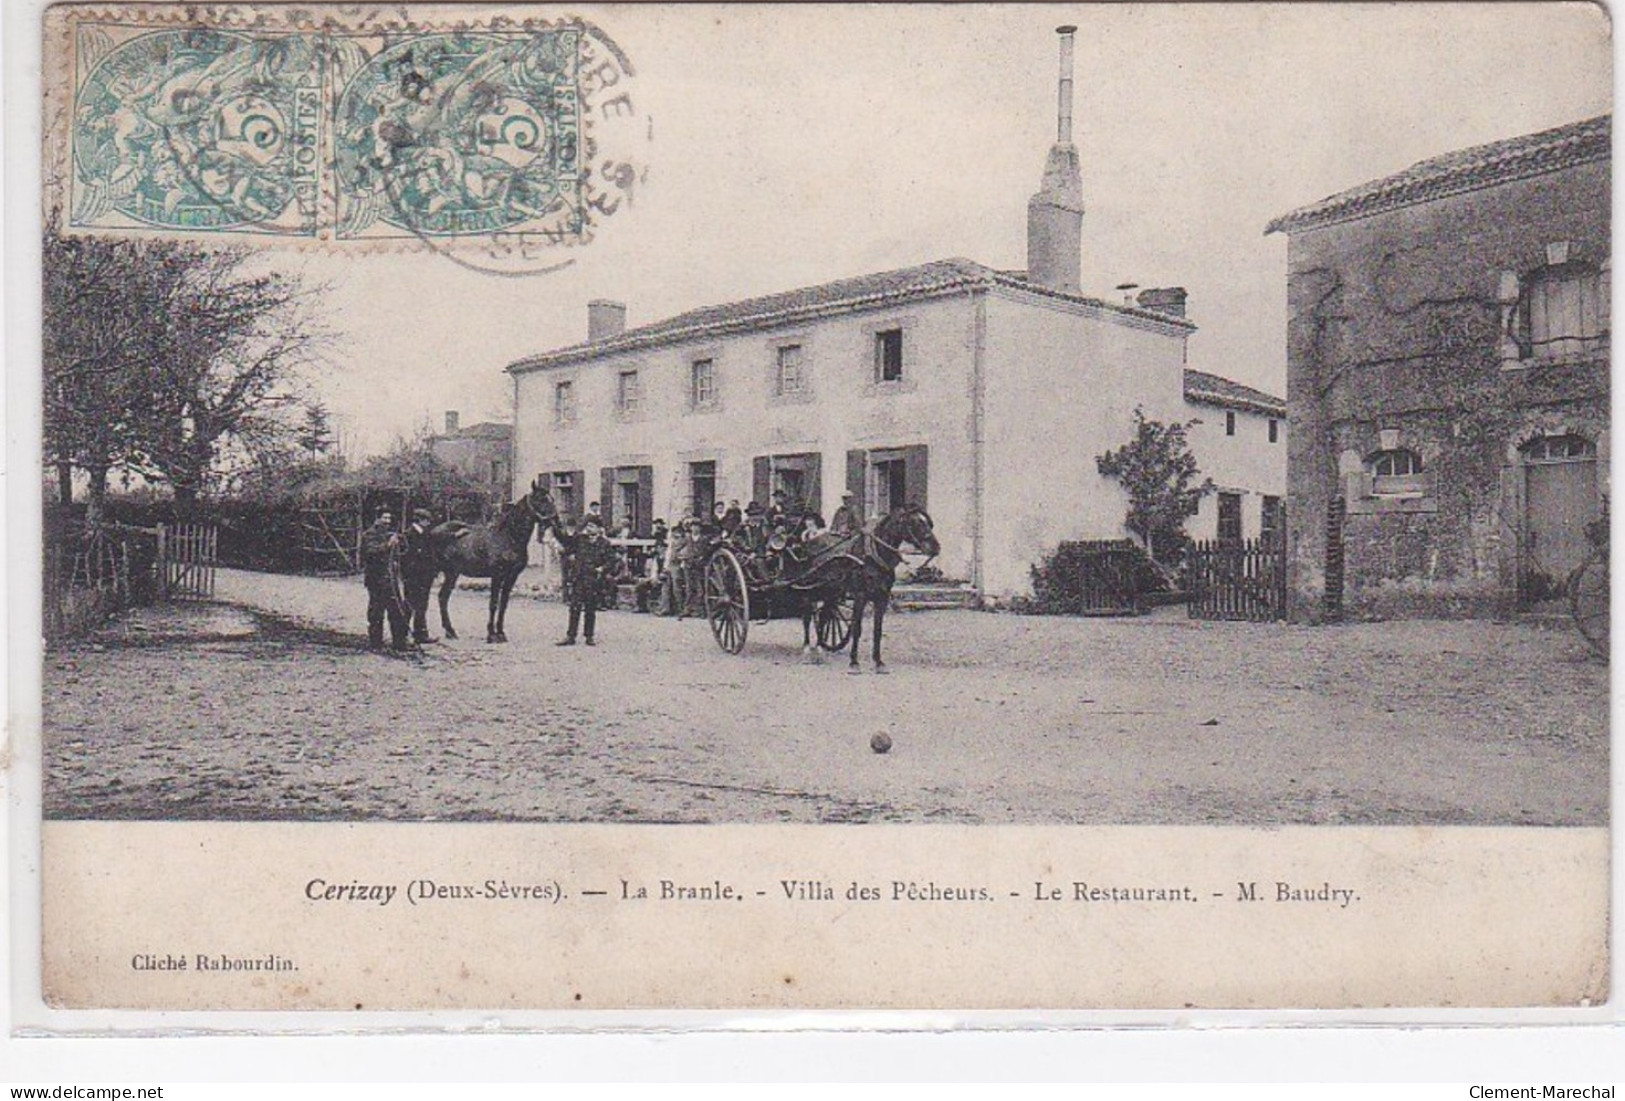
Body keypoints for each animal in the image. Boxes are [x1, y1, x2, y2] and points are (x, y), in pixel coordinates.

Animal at [432, 477, 559, 646]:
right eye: (540, 499)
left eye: (551, 498)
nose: (556, 520)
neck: (508, 537)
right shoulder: (497, 575)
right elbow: (493, 603)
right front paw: (491, 635)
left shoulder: (512, 576)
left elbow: (503, 604)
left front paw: (501, 633)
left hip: (452, 574)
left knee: (443, 597)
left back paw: (450, 631)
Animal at [796, 506, 949, 672]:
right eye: (915, 522)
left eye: (929, 523)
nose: (936, 547)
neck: (872, 556)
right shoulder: (860, 596)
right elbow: (857, 628)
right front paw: (854, 662)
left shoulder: (882, 597)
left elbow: (878, 630)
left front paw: (878, 662)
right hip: (809, 589)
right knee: (807, 617)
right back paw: (806, 649)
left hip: (831, 592)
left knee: (825, 616)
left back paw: (820, 648)